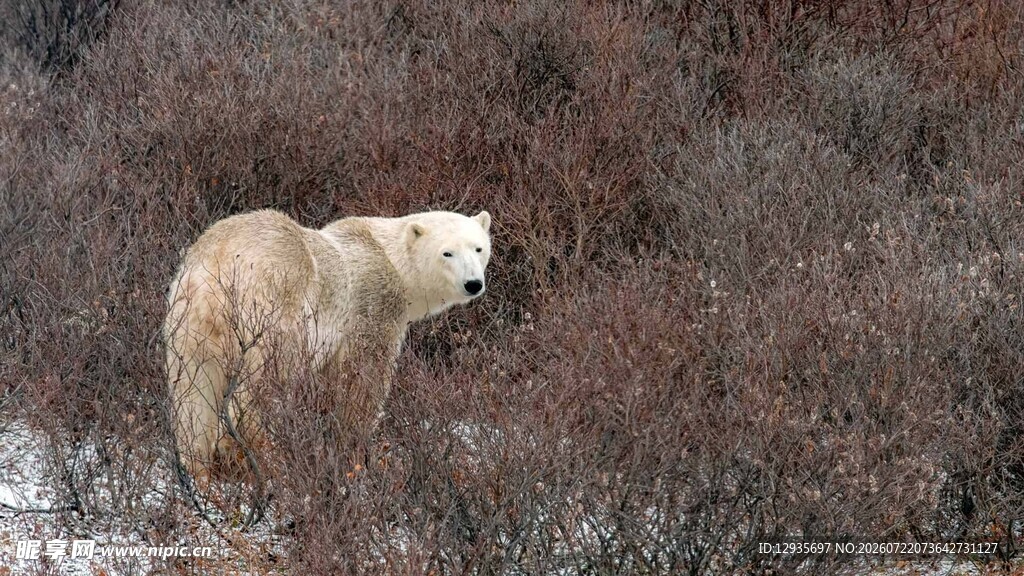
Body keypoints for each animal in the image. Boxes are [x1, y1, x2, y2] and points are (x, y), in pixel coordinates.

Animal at [163, 209, 492, 477]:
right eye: (447, 253)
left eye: (479, 248)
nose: (473, 284)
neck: (390, 260)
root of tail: (216, 269)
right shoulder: (373, 306)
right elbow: (364, 380)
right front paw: (357, 446)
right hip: (273, 308)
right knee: (265, 382)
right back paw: (263, 454)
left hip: (189, 324)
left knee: (193, 395)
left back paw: (200, 471)